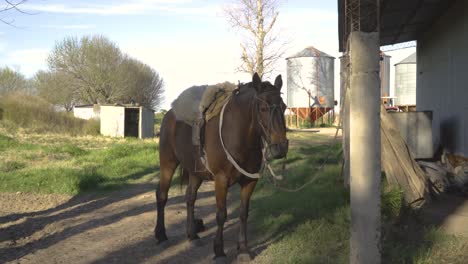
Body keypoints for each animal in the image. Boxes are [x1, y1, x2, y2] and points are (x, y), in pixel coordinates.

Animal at [155, 72, 288, 262]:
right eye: (263, 108)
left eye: (284, 107)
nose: (281, 147)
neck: (238, 135)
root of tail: (170, 115)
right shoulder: (221, 180)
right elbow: (221, 214)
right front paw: (219, 251)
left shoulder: (249, 181)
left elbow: (243, 213)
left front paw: (243, 249)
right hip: (168, 163)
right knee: (162, 195)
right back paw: (161, 236)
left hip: (196, 172)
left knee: (190, 197)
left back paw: (192, 235)